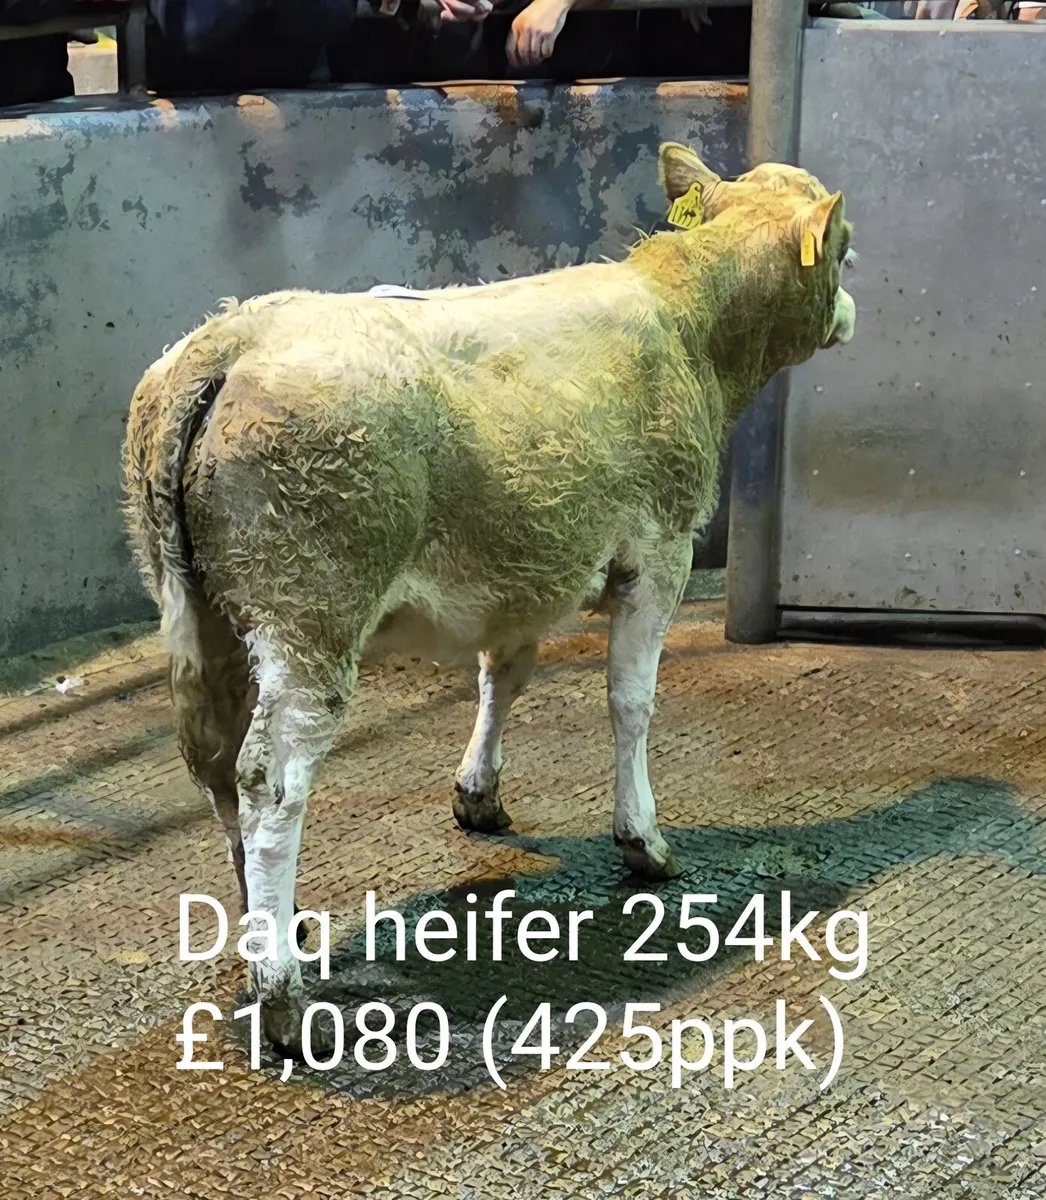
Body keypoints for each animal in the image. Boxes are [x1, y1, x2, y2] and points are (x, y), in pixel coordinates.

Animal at [123, 143, 856, 1051]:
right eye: (845, 250)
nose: (852, 311)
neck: (688, 320)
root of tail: (228, 340)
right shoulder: (662, 547)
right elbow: (631, 701)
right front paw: (643, 840)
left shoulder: (525, 567)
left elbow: (500, 678)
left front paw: (478, 795)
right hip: (311, 606)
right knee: (270, 779)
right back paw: (284, 996)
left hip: (198, 609)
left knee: (216, 763)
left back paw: (271, 929)